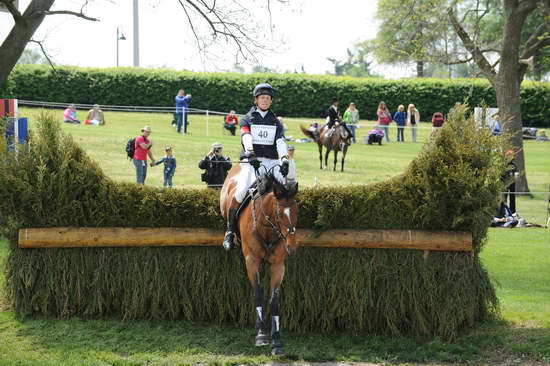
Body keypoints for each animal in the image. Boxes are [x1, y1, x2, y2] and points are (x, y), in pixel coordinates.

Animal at [220, 163, 300, 354]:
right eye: (279, 214)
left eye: (296, 211)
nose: (292, 247)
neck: (268, 229)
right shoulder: (251, 260)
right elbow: (258, 294)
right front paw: (261, 335)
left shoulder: (278, 265)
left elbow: (274, 300)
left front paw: (276, 340)